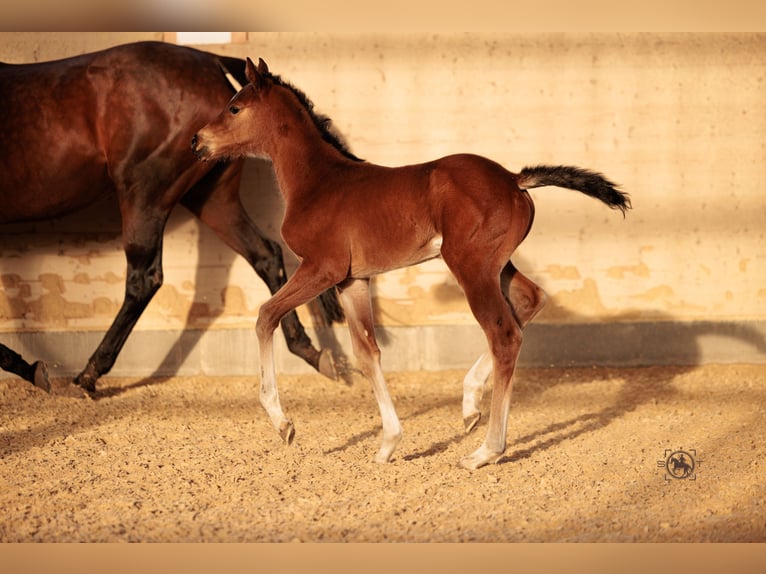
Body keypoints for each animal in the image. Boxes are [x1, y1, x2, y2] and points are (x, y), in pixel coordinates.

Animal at [0, 42, 343, 394]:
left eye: (236, 109)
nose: (197, 140)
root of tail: (210, 60)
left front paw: (31, 369)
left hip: (145, 194)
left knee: (144, 279)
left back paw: (89, 374)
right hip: (213, 199)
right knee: (266, 254)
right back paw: (312, 352)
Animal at [192, 57, 631, 470]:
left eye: (234, 107)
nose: (198, 140)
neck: (320, 182)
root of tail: (513, 179)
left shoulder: (322, 268)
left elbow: (266, 315)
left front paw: (283, 423)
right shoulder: (352, 280)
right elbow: (366, 351)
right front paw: (388, 444)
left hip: (470, 266)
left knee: (504, 334)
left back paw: (485, 451)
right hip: (495, 265)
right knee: (530, 300)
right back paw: (470, 405)